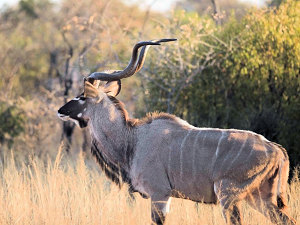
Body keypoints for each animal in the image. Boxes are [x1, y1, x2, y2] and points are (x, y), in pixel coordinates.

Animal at [58, 39, 296, 225]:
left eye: (82, 96)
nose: (60, 111)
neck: (133, 141)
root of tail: (277, 150)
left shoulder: (159, 194)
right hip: (260, 198)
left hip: (228, 196)